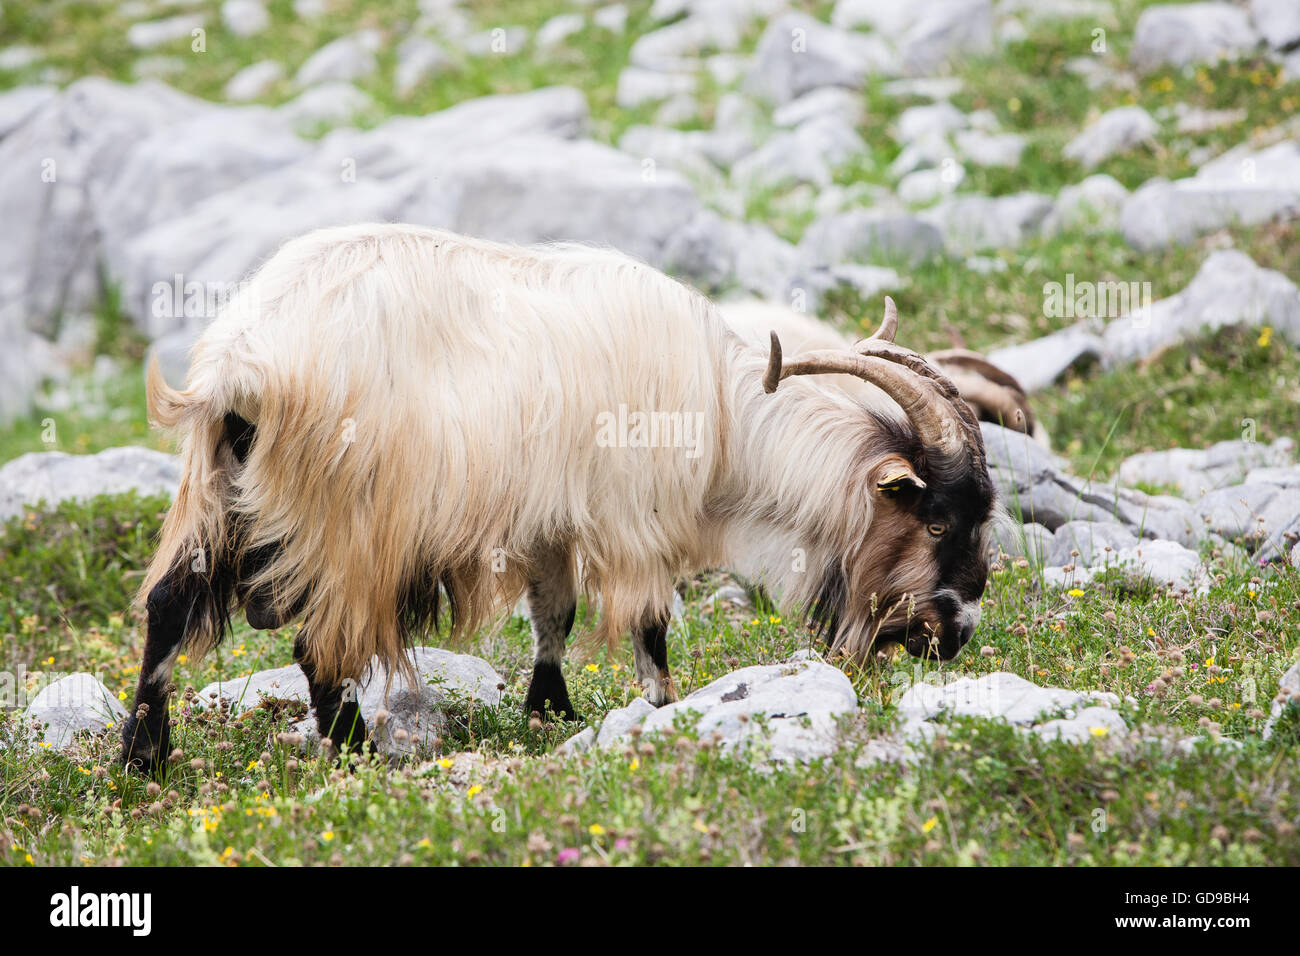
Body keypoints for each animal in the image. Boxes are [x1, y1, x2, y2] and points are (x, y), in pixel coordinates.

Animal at [122, 221, 993, 775]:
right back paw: (357, 754)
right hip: (349, 522)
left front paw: (551, 712)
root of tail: (244, 363)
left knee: (168, 603)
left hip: (217, 486)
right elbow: (648, 625)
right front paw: (660, 710)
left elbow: (554, 615)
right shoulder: (637, 518)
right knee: (319, 641)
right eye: (937, 519)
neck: (725, 412)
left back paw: (144, 758)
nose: (954, 635)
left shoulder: (548, 522)